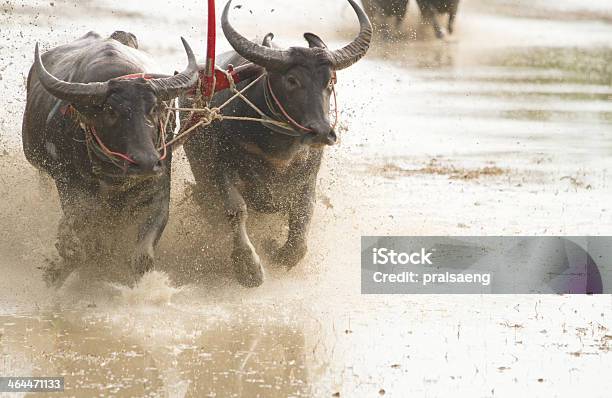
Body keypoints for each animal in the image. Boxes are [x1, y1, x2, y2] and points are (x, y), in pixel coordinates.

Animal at [21, 31, 197, 282]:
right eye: (111, 111)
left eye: (154, 108)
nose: (145, 162)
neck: (115, 176)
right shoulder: (70, 188)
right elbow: (76, 243)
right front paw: (55, 272)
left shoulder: (159, 186)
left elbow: (143, 257)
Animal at [182, 0, 372, 288]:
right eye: (292, 80)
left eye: (329, 80)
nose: (322, 132)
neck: (278, 153)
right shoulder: (220, 166)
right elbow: (235, 208)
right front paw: (248, 268)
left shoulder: (307, 180)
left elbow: (302, 221)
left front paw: (277, 250)